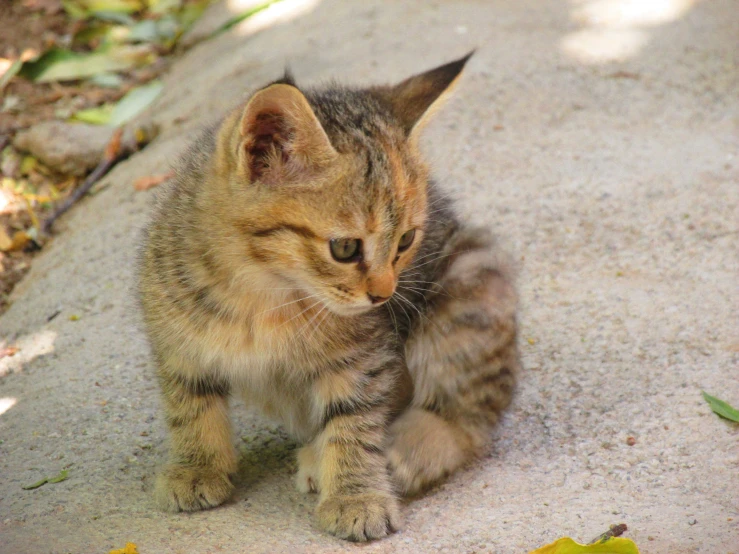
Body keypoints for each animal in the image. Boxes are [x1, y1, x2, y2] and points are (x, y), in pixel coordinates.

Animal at [139, 52, 520, 540]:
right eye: (345, 248)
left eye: (406, 241)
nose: (384, 296)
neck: (262, 290)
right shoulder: (174, 331)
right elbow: (188, 401)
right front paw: (196, 467)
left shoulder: (362, 357)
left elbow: (353, 420)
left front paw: (356, 495)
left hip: (470, 278)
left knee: (468, 420)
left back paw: (398, 454)